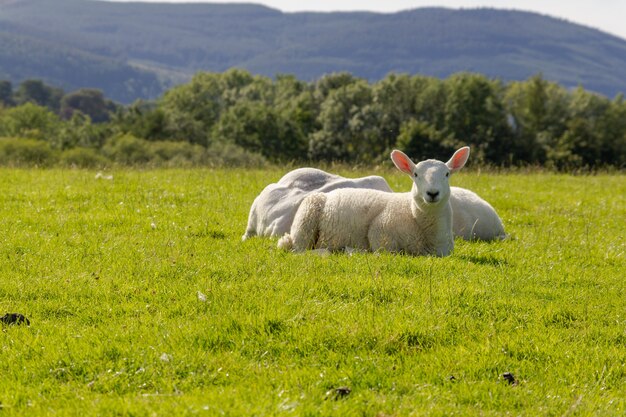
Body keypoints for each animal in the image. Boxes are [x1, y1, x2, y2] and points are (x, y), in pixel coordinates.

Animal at [276, 146, 468, 256]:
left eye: (447, 174)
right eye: (415, 174)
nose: (432, 193)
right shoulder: (380, 233)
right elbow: (384, 253)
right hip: (306, 220)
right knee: (301, 251)